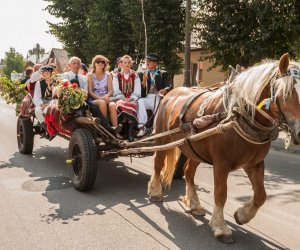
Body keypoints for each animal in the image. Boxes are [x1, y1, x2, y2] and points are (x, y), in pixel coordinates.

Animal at [149, 53, 300, 243]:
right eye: (286, 93)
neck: (237, 114)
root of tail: (171, 92)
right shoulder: (221, 164)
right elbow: (221, 194)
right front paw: (220, 227)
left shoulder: (255, 164)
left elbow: (261, 195)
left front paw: (242, 215)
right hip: (162, 138)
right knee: (158, 164)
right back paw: (155, 192)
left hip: (194, 148)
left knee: (188, 172)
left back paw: (194, 204)